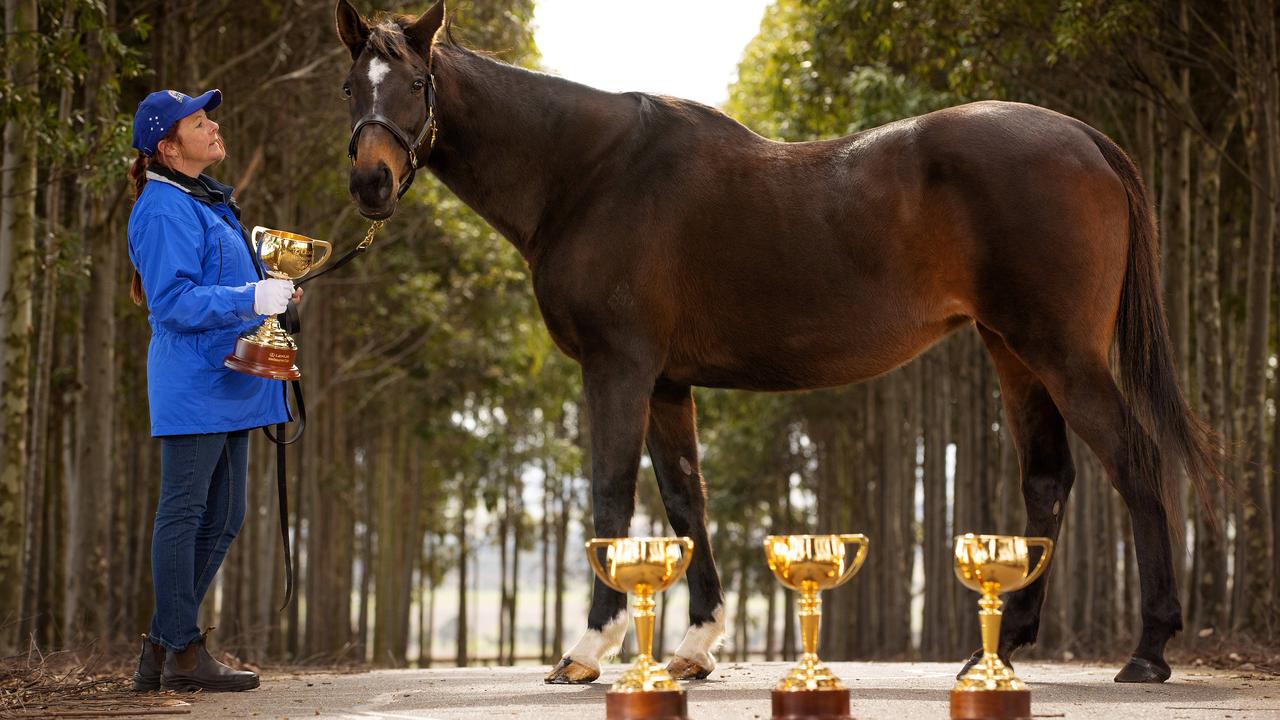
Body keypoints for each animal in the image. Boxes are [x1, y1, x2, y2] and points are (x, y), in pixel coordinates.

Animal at [335, 1, 1213, 681]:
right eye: (349, 86)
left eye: (416, 84)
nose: (371, 184)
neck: (588, 173)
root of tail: (1085, 138)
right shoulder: (665, 380)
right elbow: (685, 497)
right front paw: (695, 646)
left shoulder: (619, 366)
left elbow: (613, 489)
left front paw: (587, 649)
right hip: (1013, 349)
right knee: (1049, 477)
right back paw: (1003, 647)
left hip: (1063, 351)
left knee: (1135, 462)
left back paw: (1148, 650)